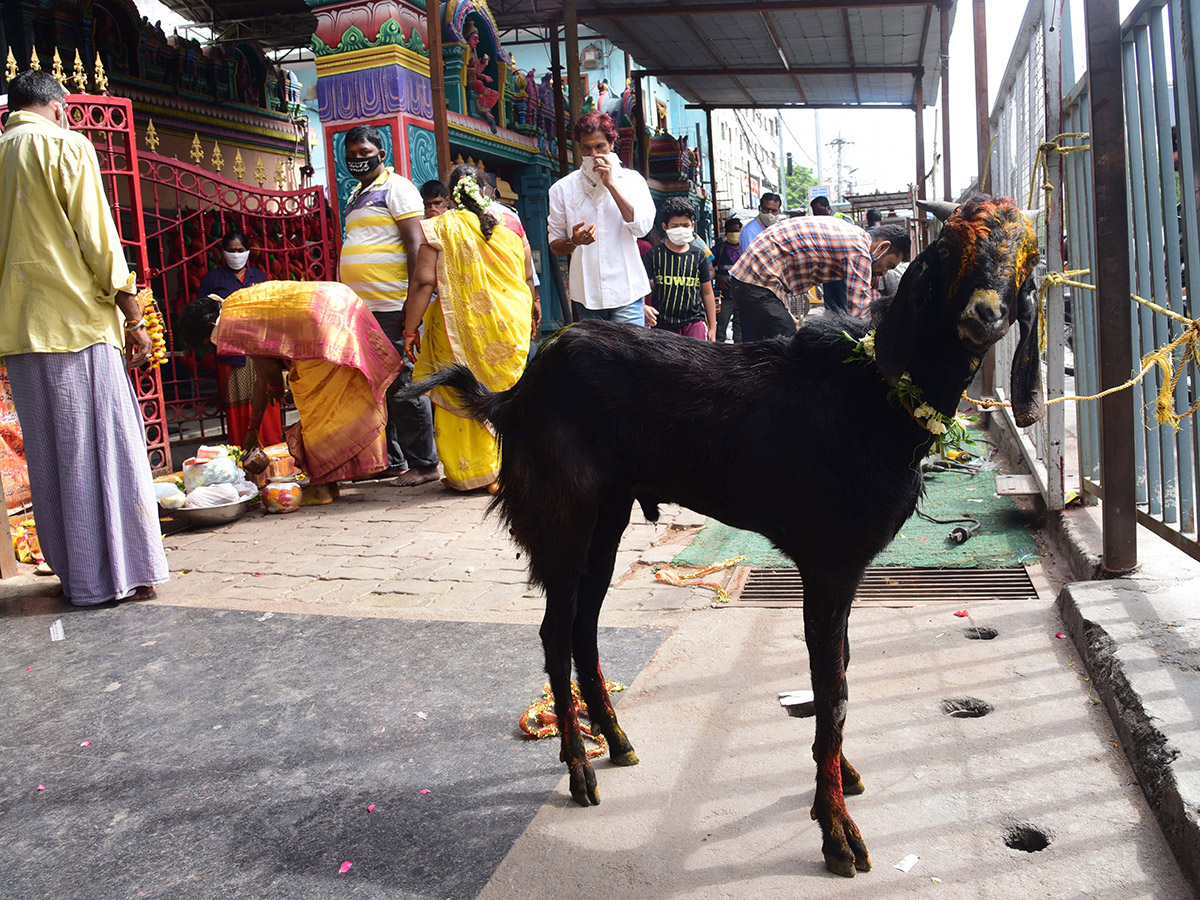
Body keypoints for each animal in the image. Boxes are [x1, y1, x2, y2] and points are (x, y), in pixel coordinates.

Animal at [408, 194, 1046, 878]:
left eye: (1024, 258)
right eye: (952, 250)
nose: (986, 313)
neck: (874, 394)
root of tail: (519, 389)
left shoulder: (845, 570)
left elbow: (840, 678)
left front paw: (839, 781)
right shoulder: (827, 562)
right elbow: (833, 691)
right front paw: (836, 829)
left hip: (608, 515)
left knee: (584, 625)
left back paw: (618, 739)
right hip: (564, 515)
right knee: (556, 631)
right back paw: (580, 769)